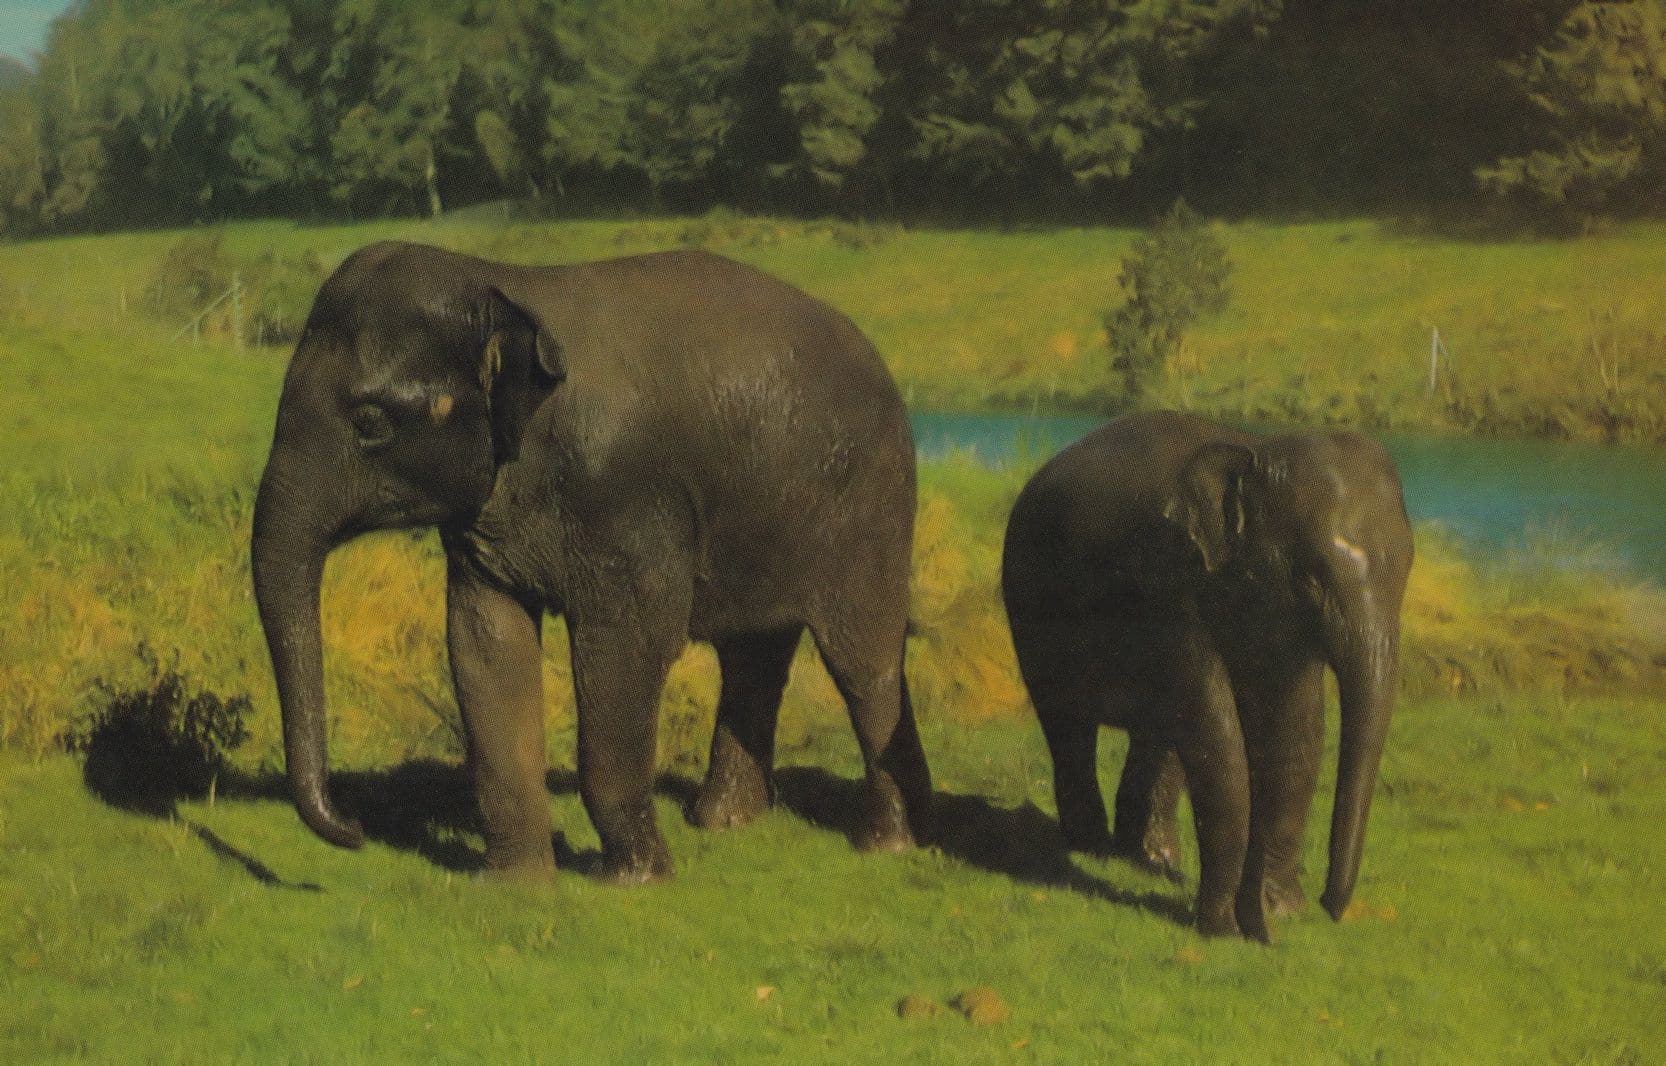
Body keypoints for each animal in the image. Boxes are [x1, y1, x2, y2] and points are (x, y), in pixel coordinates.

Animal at [251, 240, 931, 884]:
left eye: (370, 423)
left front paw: (636, 880)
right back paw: (726, 823)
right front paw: (517, 888)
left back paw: (887, 844)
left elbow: (631, 643)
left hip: (868, 500)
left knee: (861, 657)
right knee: (754, 654)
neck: (503, 285)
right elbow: (484, 639)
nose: (357, 830)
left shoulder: (624, 492)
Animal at [1000, 411, 1413, 939]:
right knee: (1068, 723)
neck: (1256, 451)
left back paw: (1150, 860)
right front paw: (1226, 928)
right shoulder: (1173, 586)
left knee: (1158, 736)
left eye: (1408, 571)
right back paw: (1090, 849)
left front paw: (1280, 912)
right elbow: (1216, 731)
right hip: (1028, 601)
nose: (1327, 906)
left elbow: (1297, 731)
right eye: (1311, 577)